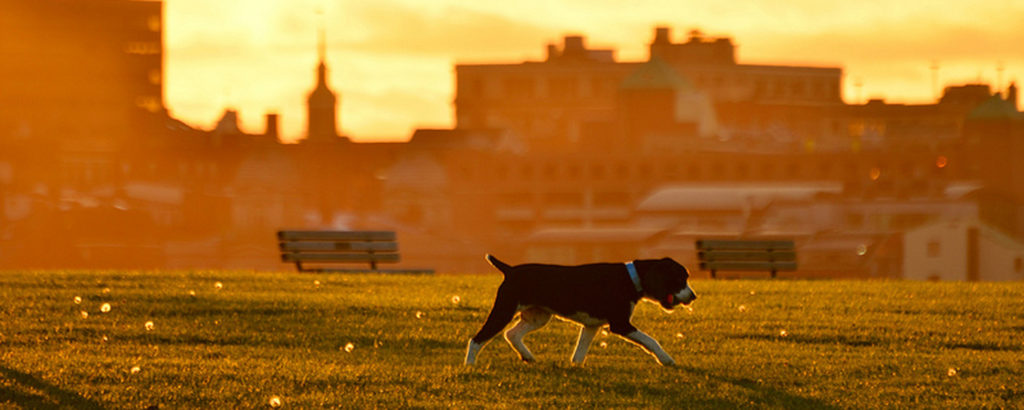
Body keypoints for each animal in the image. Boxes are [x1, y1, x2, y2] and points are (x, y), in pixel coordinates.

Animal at [466, 254, 696, 366]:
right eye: (679, 279)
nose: (693, 296)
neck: (631, 278)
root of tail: (510, 270)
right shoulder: (620, 324)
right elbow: (651, 341)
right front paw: (666, 360)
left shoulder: (592, 325)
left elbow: (580, 352)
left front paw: (575, 366)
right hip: (504, 310)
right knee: (477, 339)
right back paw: (470, 365)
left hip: (538, 316)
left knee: (512, 334)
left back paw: (528, 357)